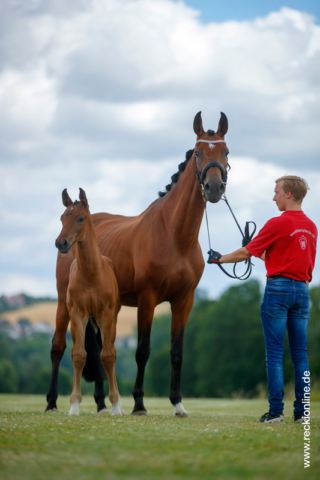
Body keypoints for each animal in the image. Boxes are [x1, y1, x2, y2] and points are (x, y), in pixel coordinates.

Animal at [56, 188, 124, 416]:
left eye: (80, 218)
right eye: (62, 218)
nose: (61, 243)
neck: (92, 273)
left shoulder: (105, 314)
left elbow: (108, 356)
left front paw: (115, 406)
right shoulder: (79, 314)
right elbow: (79, 355)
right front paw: (74, 406)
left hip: (110, 320)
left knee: (110, 351)